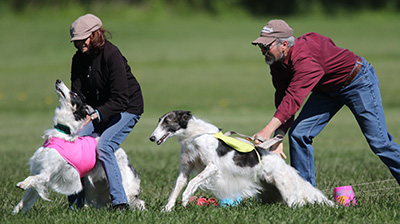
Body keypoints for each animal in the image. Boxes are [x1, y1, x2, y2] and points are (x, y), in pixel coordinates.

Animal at [13, 79, 146, 214]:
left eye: (74, 95)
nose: (58, 80)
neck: (63, 132)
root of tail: (121, 151)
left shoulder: (47, 173)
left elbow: (33, 178)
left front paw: (22, 183)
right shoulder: (40, 169)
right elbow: (26, 197)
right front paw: (15, 212)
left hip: (122, 182)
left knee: (138, 201)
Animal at [150, 110, 334, 212]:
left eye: (167, 122)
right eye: (159, 121)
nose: (152, 138)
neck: (193, 136)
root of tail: (282, 164)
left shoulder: (212, 167)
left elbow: (192, 183)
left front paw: (186, 198)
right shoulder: (185, 169)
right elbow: (177, 188)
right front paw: (167, 210)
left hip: (286, 191)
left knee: (298, 203)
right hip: (268, 192)